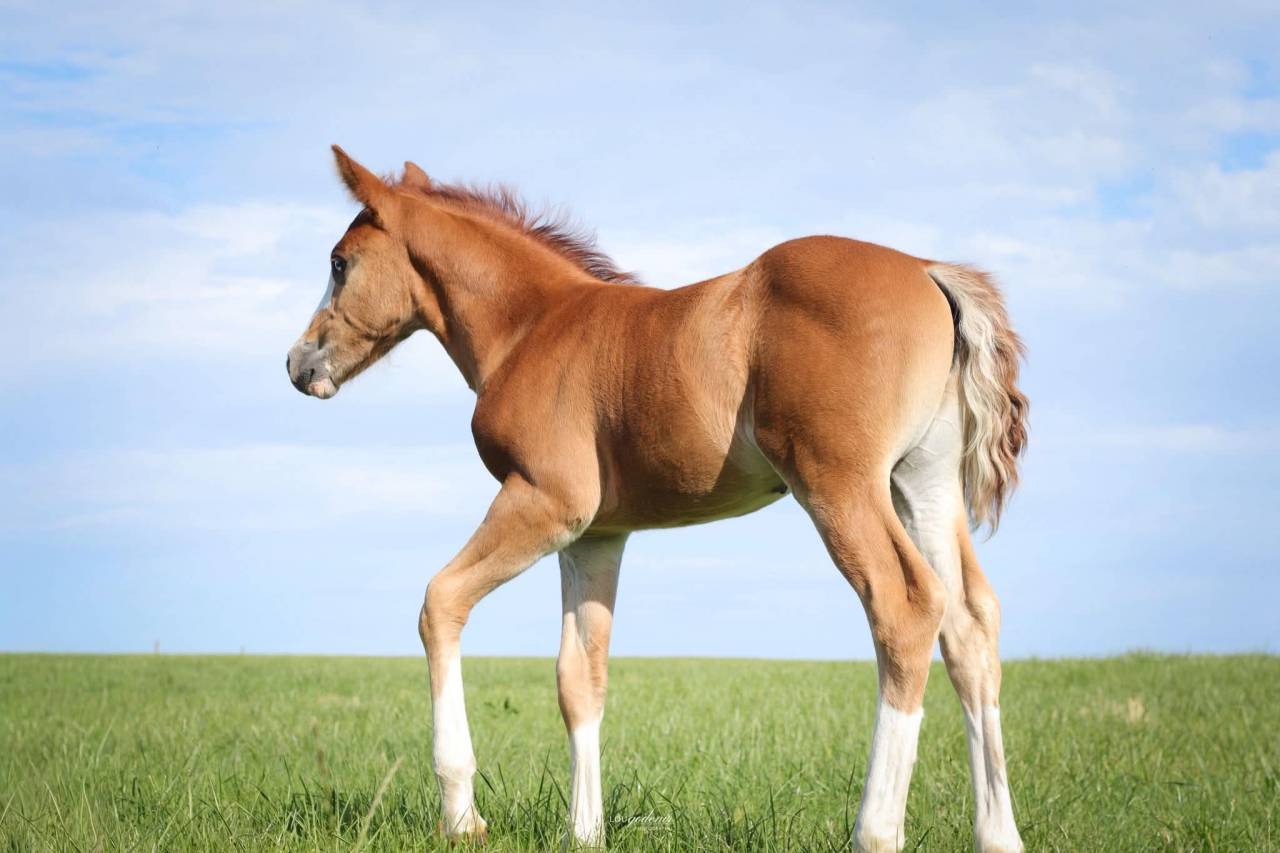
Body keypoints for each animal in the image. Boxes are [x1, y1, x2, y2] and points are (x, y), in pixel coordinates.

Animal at [286, 146, 1028, 853]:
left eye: (339, 264)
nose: (300, 363)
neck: (531, 327)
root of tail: (928, 270)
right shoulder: (596, 535)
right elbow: (579, 678)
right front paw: (584, 833)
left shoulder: (544, 503)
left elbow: (440, 601)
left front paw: (463, 817)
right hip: (922, 484)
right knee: (970, 622)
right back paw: (997, 834)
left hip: (840, 484)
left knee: (906, 607)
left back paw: (875, 831)